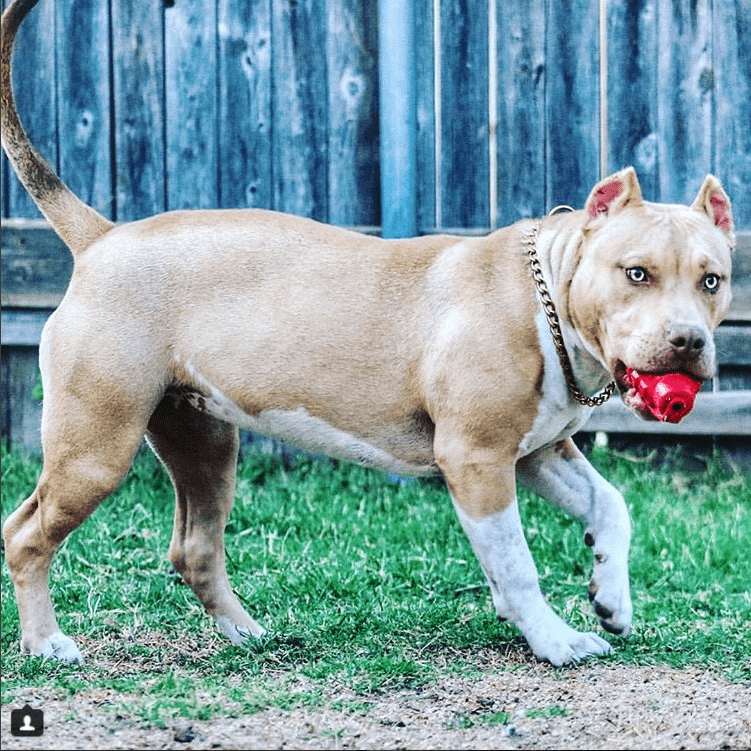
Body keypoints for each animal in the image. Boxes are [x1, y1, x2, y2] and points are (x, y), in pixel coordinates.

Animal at [0, 1, 736, 668]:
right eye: (635, 272)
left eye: (711, 280)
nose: (687, 341)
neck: (545, 296)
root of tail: (104, 236)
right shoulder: (477, 459)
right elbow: (517, 563)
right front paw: (555, 641)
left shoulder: (538, 452)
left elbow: (610, 503)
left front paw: (611, 595)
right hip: (96, 448)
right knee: (26, 532)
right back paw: (46, 644)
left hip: (203, 441)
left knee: (195, 547)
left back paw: (250, 635)